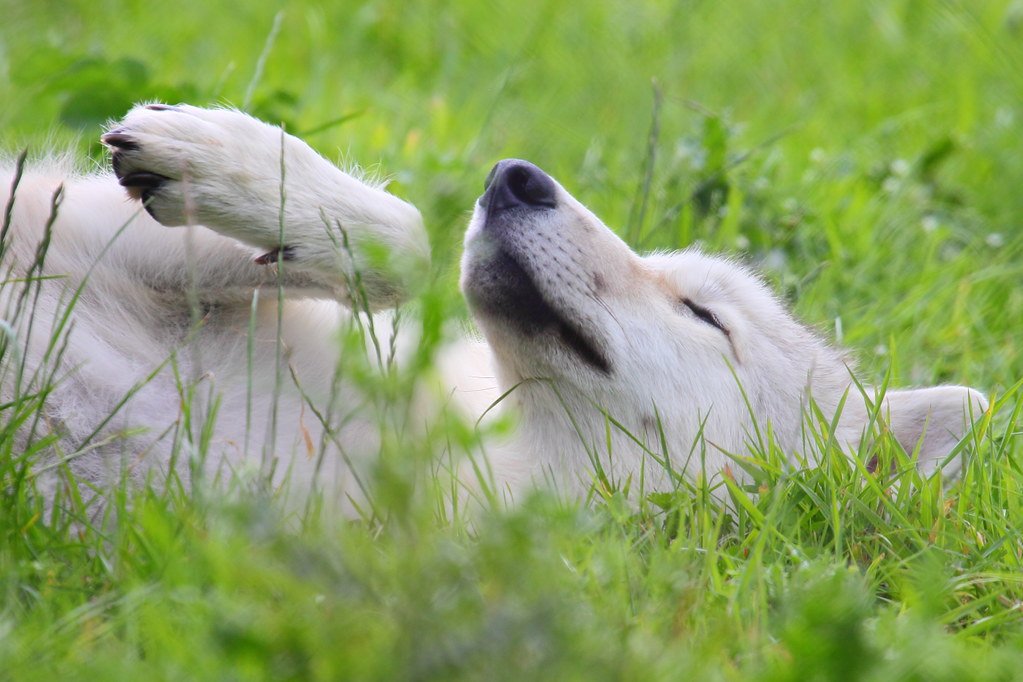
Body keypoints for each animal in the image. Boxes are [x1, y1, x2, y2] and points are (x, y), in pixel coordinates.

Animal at [0, 105, 986, 512]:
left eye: (702, 315)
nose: (514, 178)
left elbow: (410, 247)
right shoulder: (67, 225)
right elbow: (404, 242)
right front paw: (217, 154)